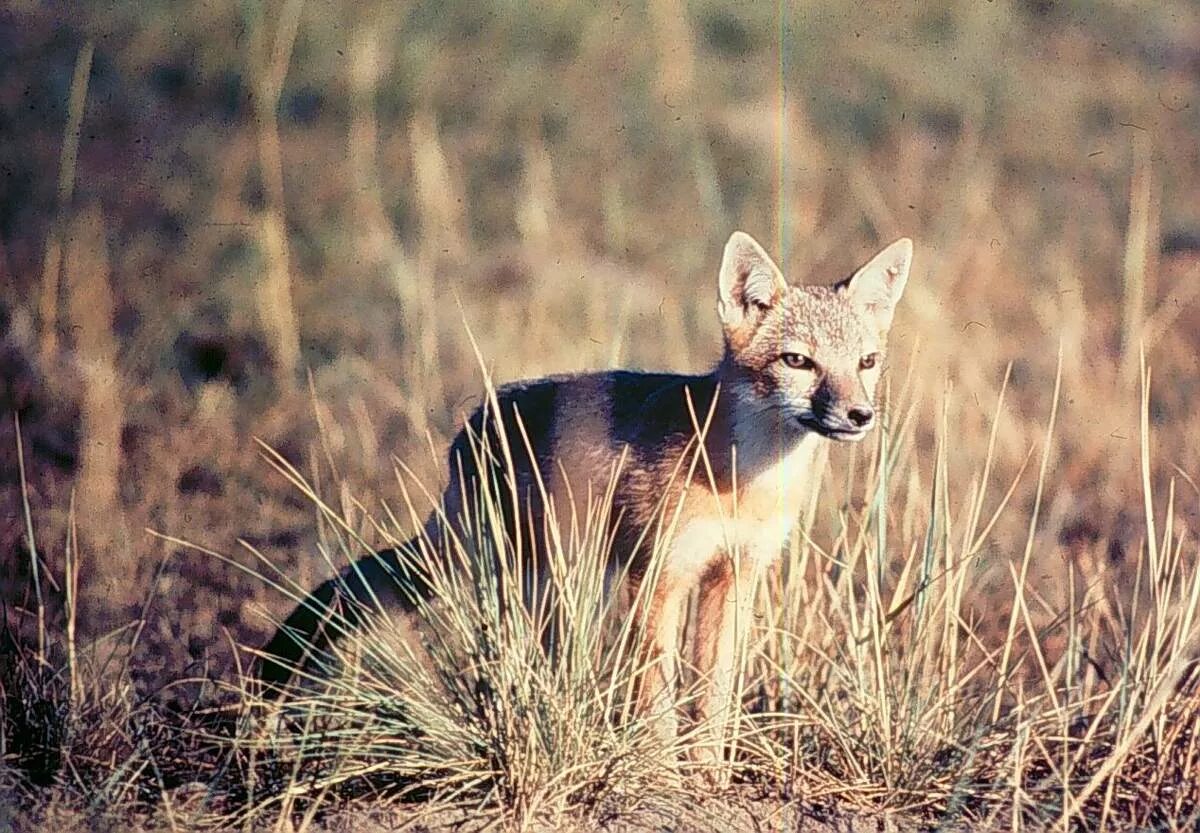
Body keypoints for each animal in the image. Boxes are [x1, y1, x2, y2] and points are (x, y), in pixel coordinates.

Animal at [260, 231, 907, 768]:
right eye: (798, 361)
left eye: (867, 362)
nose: (860, 415)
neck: (741, 482)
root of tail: (471, 425)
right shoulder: (657, 577)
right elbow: (657, 699)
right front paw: (664, 780)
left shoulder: (733, 576)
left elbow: (713, 699)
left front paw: (710, 782)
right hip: (536, 583)